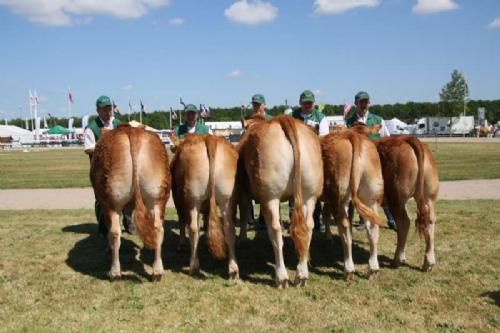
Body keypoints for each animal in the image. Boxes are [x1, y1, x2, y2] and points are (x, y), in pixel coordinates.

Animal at [92, 124, 172, 280]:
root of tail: (132, 132)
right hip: (158, 197)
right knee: (158, 229)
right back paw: (157, 271)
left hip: (112, 200)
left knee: (114, 232)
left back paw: (115, 272)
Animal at [172, 134, 240, 278]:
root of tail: (210, 138)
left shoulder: (178, 200)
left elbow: (182, 221)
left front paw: (181, 244)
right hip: (227, 200)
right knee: (229, 229)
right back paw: (233, 269)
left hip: (193, 200)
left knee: (193, 229)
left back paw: (193, 267)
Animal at [233, 115, 320, 286]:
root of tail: (284, 119)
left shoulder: (243, 193)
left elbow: (245, 213)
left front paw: (242, 239)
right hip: (309, 196)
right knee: (307, 227)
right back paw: (302, 274)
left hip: (270, 197)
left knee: (275, 230)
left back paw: (281, 276)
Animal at [320, 131, 382, 278]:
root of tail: (352, 135)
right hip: (370, 198)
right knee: (373, 229)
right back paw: (373, 268)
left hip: (339, 198)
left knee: (345, 229)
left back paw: (348, 269)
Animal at [376, 135, 440, 270]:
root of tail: (407, 138)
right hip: (428, 197)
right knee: (430, 220)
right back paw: (428, 262)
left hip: (395, 198)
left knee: (404, 222)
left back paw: (397, 259)